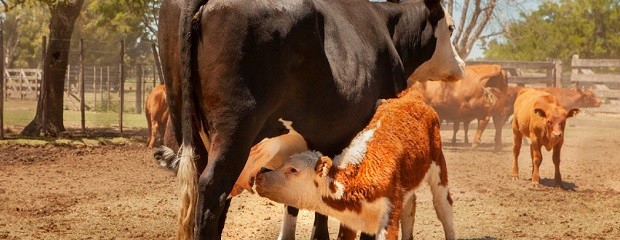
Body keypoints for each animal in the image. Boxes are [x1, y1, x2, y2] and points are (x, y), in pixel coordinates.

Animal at [253, 88, 456, 240]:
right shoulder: (349, 222)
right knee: (410, 208)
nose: (260, 175)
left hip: (439, 167)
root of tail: (412, 96)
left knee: (443, 207)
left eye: (293, 170)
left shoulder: (389, 217)